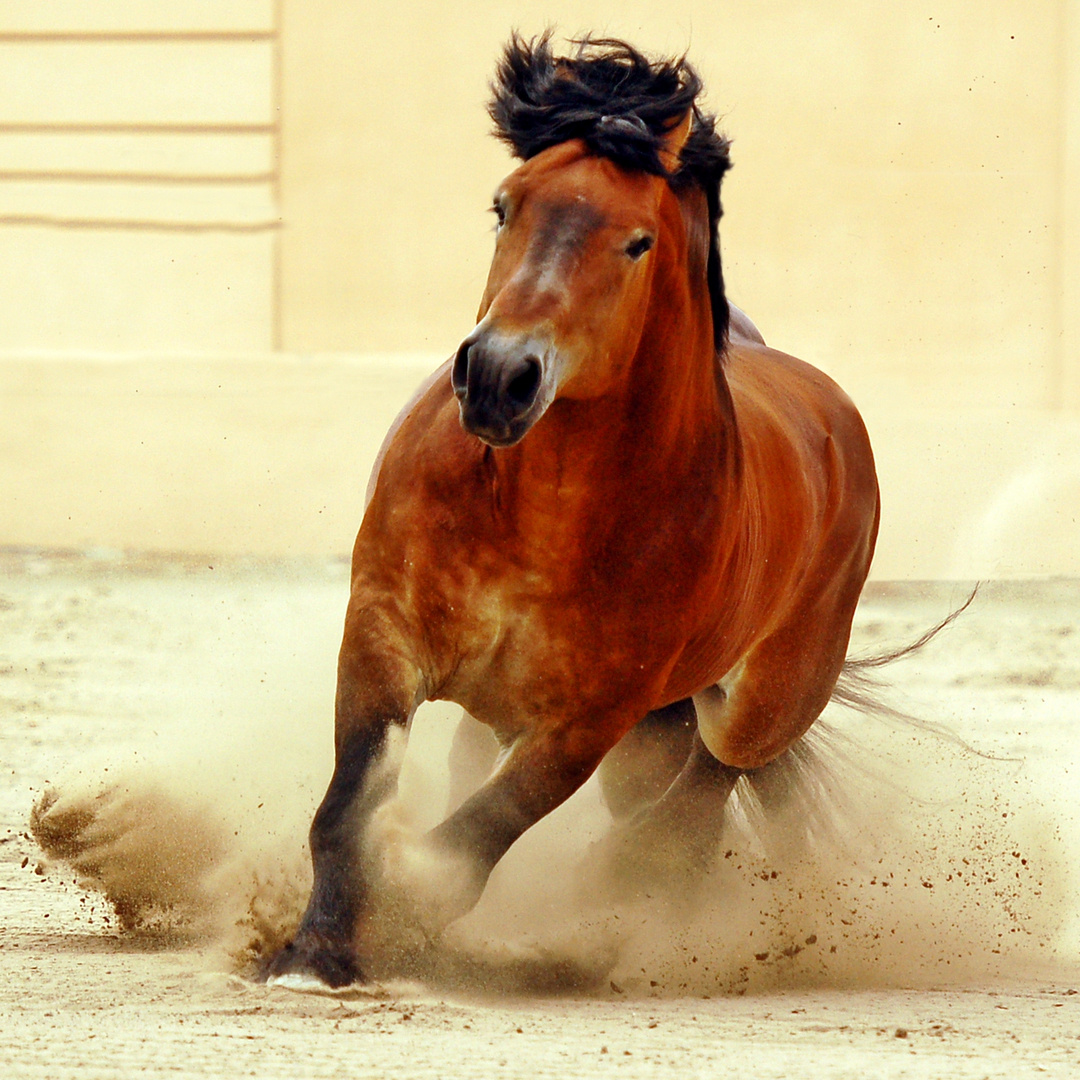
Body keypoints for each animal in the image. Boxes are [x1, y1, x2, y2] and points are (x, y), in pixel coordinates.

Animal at [265, 33, 881, 989]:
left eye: (636, 241)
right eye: (503, 206)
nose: (496, 377)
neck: (544, 513)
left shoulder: (590, 719)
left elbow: (474, 840)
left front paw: (400, 925)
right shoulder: (381, 633)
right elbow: (349, 804)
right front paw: (314, 952)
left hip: (753, 705)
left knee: (704, 790)